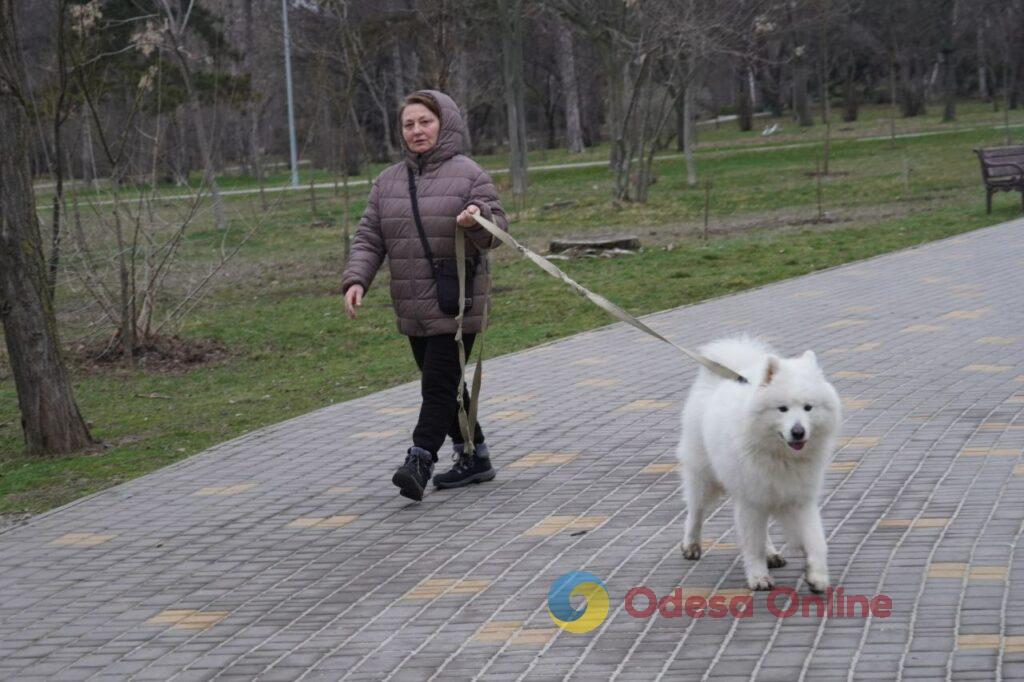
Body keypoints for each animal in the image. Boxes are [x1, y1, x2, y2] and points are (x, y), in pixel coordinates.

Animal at [671, 333, 839, 589]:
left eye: (808, 408)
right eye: (783, 409)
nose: (798, 432)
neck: (781, 456)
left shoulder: (800, 498)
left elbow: (816, 540)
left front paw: (817, 575)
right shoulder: (751, 500)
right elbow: (752, 544)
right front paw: (759, 577)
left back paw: (772, 554)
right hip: (704, 477)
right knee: (695, 512)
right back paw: (691, 545)